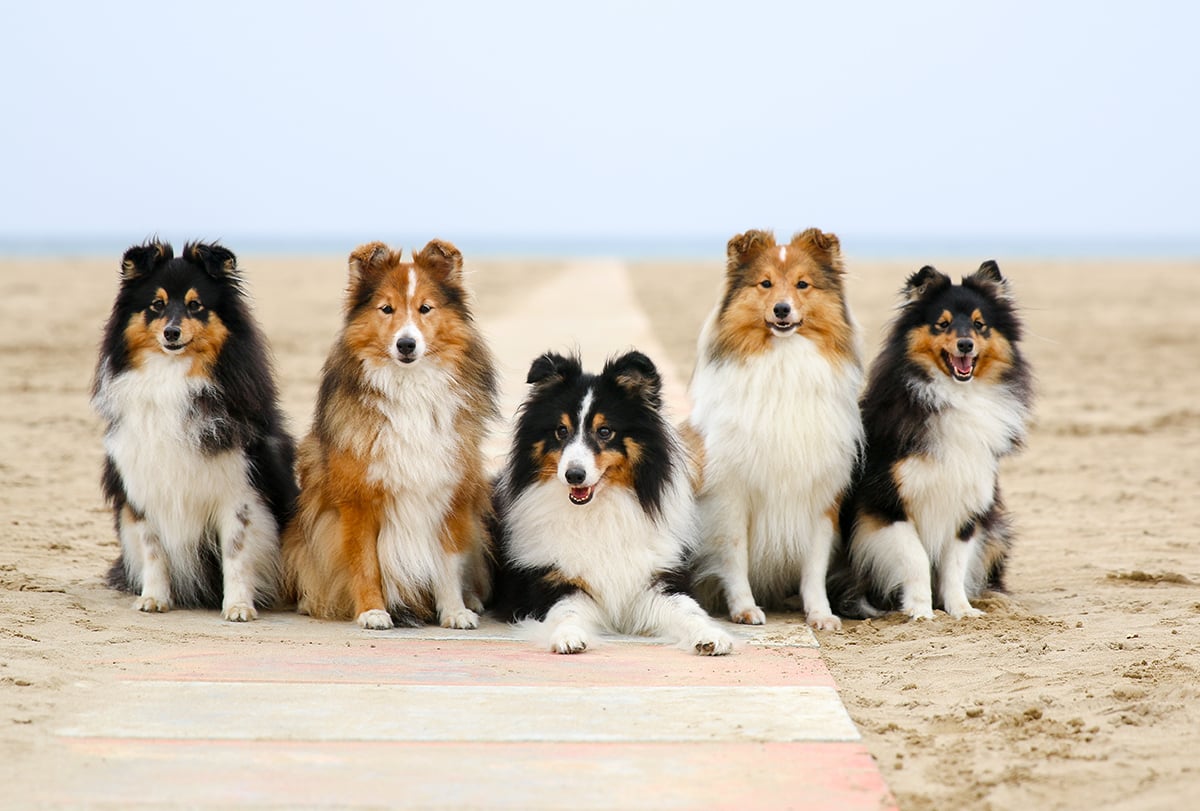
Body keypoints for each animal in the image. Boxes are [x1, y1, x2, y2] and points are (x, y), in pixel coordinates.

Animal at [93, 241, 297, 619]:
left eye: (195, 305)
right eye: (156, 305)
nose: (171, 333)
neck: (172, 376)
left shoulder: (238, 491)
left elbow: (236, 550)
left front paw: (238, 606)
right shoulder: (143, 487)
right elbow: (153, 548)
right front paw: (154, 598)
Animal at [283, 237, 499, 628]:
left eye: (425, 308)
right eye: (386, 309)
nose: (406, 344)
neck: (410, 388)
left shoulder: (450, 494)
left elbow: (449, 562)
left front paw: (455, 610)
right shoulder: (357, 502)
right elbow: (365, 562)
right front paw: (373, 611)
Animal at [492, 352, 734, 657]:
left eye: (605, 431)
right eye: (561, 430)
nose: (574, 475)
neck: (598, 508)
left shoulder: (656, 580)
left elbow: (688, 609)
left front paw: (711, 636)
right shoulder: (553, 581)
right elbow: (565, 611)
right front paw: (569, 637)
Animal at [686, 227, 864, 633]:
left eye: (803, 284)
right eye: (765, 283)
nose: (782, 309)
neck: (784, 362)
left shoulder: (820, 497)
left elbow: (814, 568)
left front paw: (820, 614)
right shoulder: (731, 496)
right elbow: (735, 557)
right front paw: (744, 610)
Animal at [835, 262, 1032, 619]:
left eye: (980, 324)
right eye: (942, 323)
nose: (966, 344)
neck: (955, 396)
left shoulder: (968, 505)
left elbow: (954, 565)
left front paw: (962, 611)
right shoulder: (887, 504)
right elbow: (916, 560)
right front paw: (921, 612)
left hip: (996, 528)